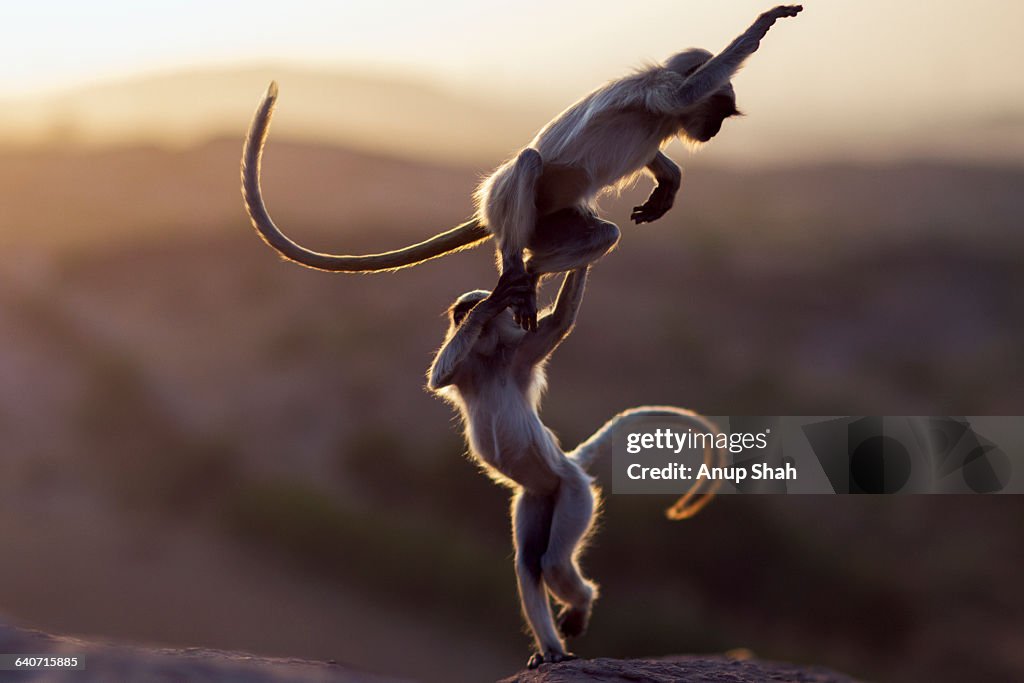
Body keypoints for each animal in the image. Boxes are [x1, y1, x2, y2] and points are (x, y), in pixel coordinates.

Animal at [243, 3, 802, 327]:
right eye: (720, 114)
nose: (716, 132)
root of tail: (489, 215)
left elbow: (657, 157)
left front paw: (670, 179)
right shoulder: (662, 92)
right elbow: (688, 90)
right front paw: (762, 25)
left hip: (549, 222)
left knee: (600, 235)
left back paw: (529, 277)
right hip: (508, 201)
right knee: (530, 163)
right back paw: (514, 270)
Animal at [428, 270, 724, 671]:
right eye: (459, 314)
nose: (462, 318)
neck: (491, 362)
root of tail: (569, 463)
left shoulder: (519, 355)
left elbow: (560, 323)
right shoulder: (468, 367)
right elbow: (439, 378)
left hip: (572, 492)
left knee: (551, 561)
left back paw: (581, 604)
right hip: (537, 496)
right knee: (529, 563)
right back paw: (552, 649)